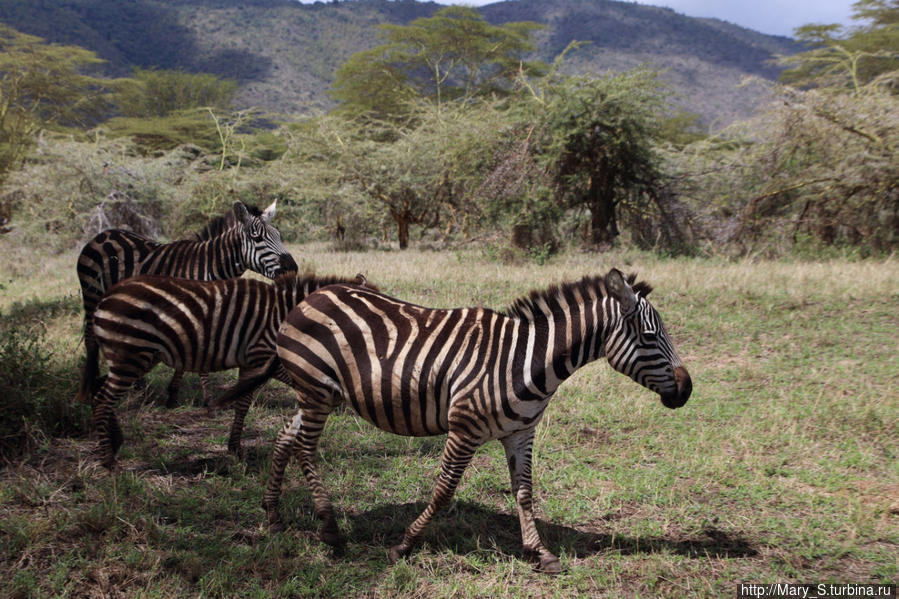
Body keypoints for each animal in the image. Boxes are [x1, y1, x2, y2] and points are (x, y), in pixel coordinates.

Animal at [75, 200, 298, 408]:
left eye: (279, 235)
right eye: (257, 238)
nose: (292, 269)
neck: (209, 266)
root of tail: (103, 233)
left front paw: (172, 395)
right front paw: (207, 399)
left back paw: (140, 388)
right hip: (92, 293)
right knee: (91, 339)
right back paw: (87, 390)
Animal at [80, 274, 370, 474]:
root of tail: (107, 296)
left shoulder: (259, 361)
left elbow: (243, 402)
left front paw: (234, 447)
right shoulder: (263, 356)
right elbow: (246, 401)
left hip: (136, 358)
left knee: (99, 389)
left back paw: (115, 441)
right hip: (130, 355)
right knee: (104, 399)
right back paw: (107, 460)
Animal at [264, 270, 692, 576]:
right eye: (650, 336)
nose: (686, 390)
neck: (526, 361)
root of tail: (314, 294)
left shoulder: (521, 433)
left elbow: (524, 492)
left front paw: (540, 552)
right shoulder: (464, 429)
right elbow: (443, 492)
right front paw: (404, 545)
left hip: (322, 393)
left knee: (286, 437)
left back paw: (273, 516)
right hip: (316, 389)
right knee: (305, 447)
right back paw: (329, 530)